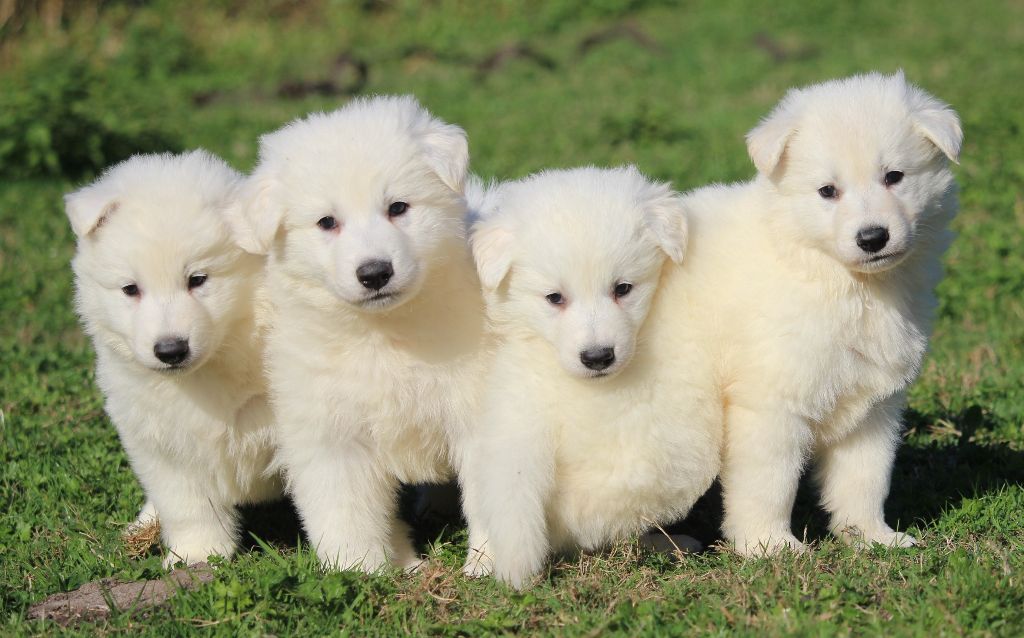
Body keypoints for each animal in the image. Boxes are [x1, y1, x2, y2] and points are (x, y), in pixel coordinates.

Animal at [67, 150, 280, 569]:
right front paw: (197, 555)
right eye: (130, 289)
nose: (170, 350)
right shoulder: (159, 440)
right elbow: (187, 504)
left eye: (197, 279)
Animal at [226, 96, 489, 573]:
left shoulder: (477, 408)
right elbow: (346, 511)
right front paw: (361, 572)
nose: (374, 273)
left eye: (398, 207)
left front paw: (487, 565)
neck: (382, 333)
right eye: (327, 222)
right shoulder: (331, 431)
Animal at [464, 168, 720, 589]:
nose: (598, 357)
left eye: (623, 289)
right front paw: (512, 568)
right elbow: (512, 486)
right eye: (554, 298)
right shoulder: (516, 404)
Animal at [679, 72, 958, 557]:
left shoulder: (873, 405)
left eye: (894, 177)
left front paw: (873, 537)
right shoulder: (770, 403)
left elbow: (865, 478)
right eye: (828, 191)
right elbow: (768, 483)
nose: (872, 237)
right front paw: (770, 547)